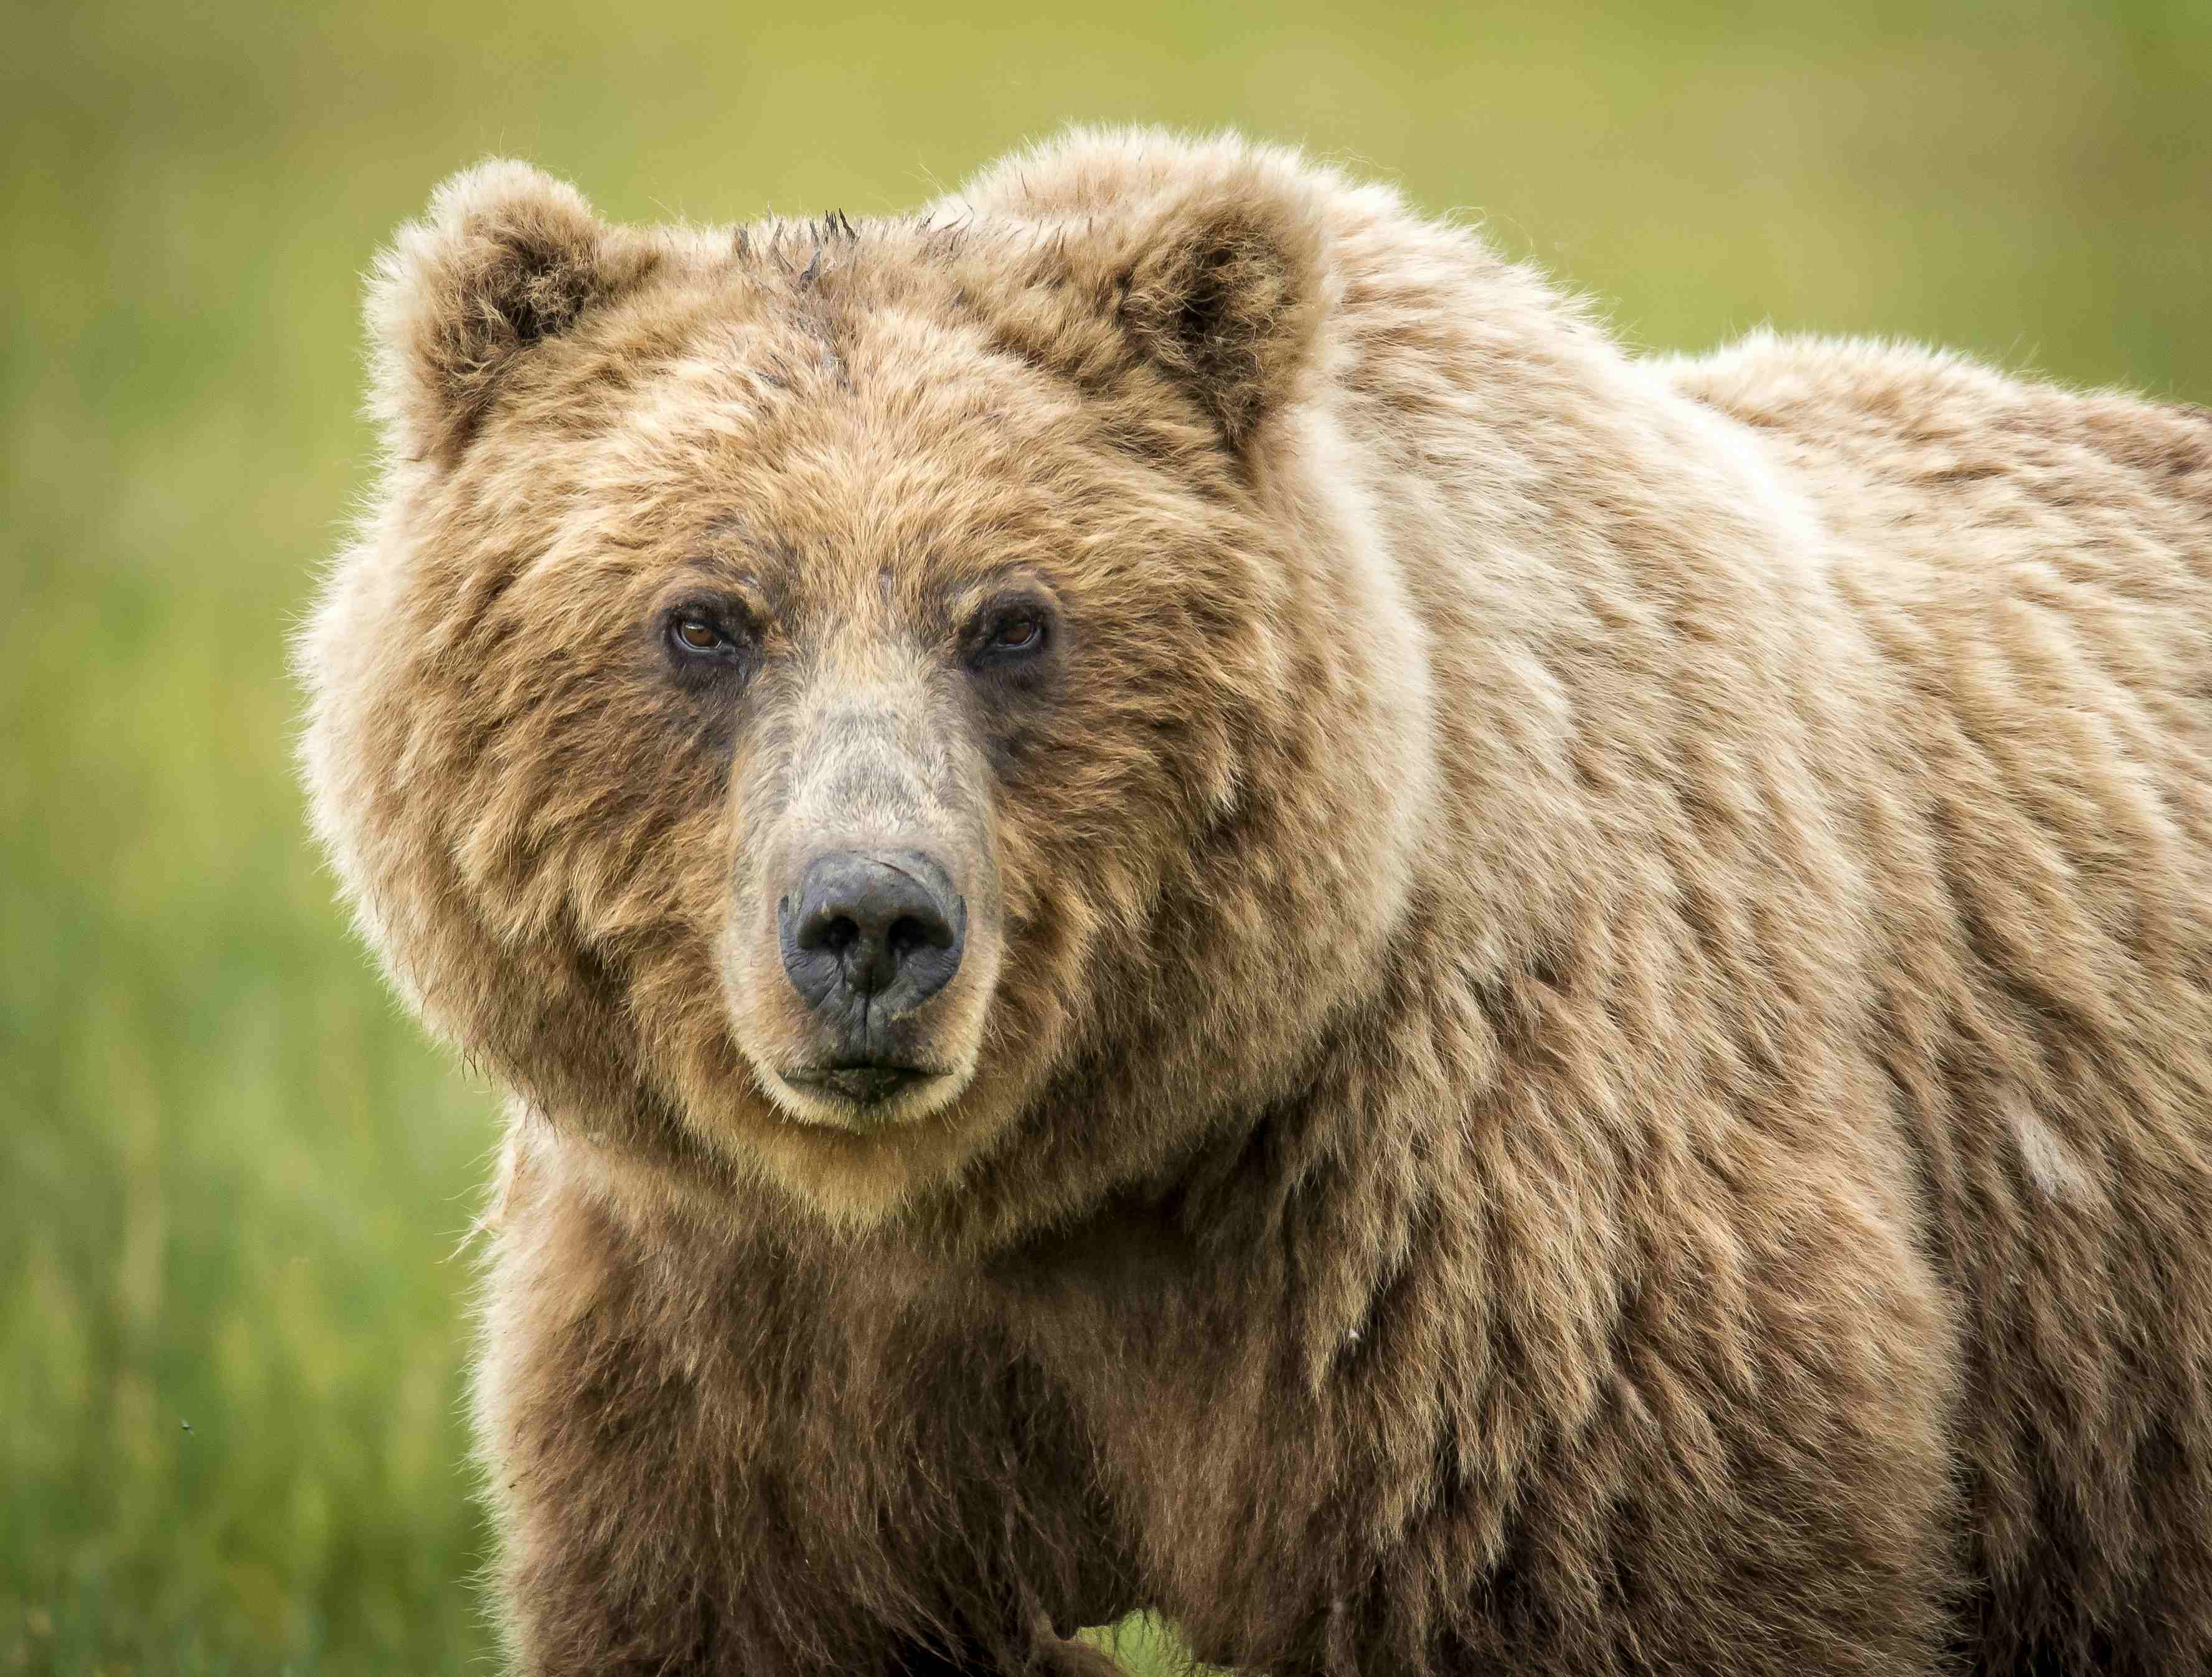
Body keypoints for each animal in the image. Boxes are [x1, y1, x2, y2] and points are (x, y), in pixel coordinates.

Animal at [298, 128, 2212, 1677]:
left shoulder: (1484, 1247)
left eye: (1013, 618)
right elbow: (747, 1590)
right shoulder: (733, 1327)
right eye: (705, 617)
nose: (869, 926)